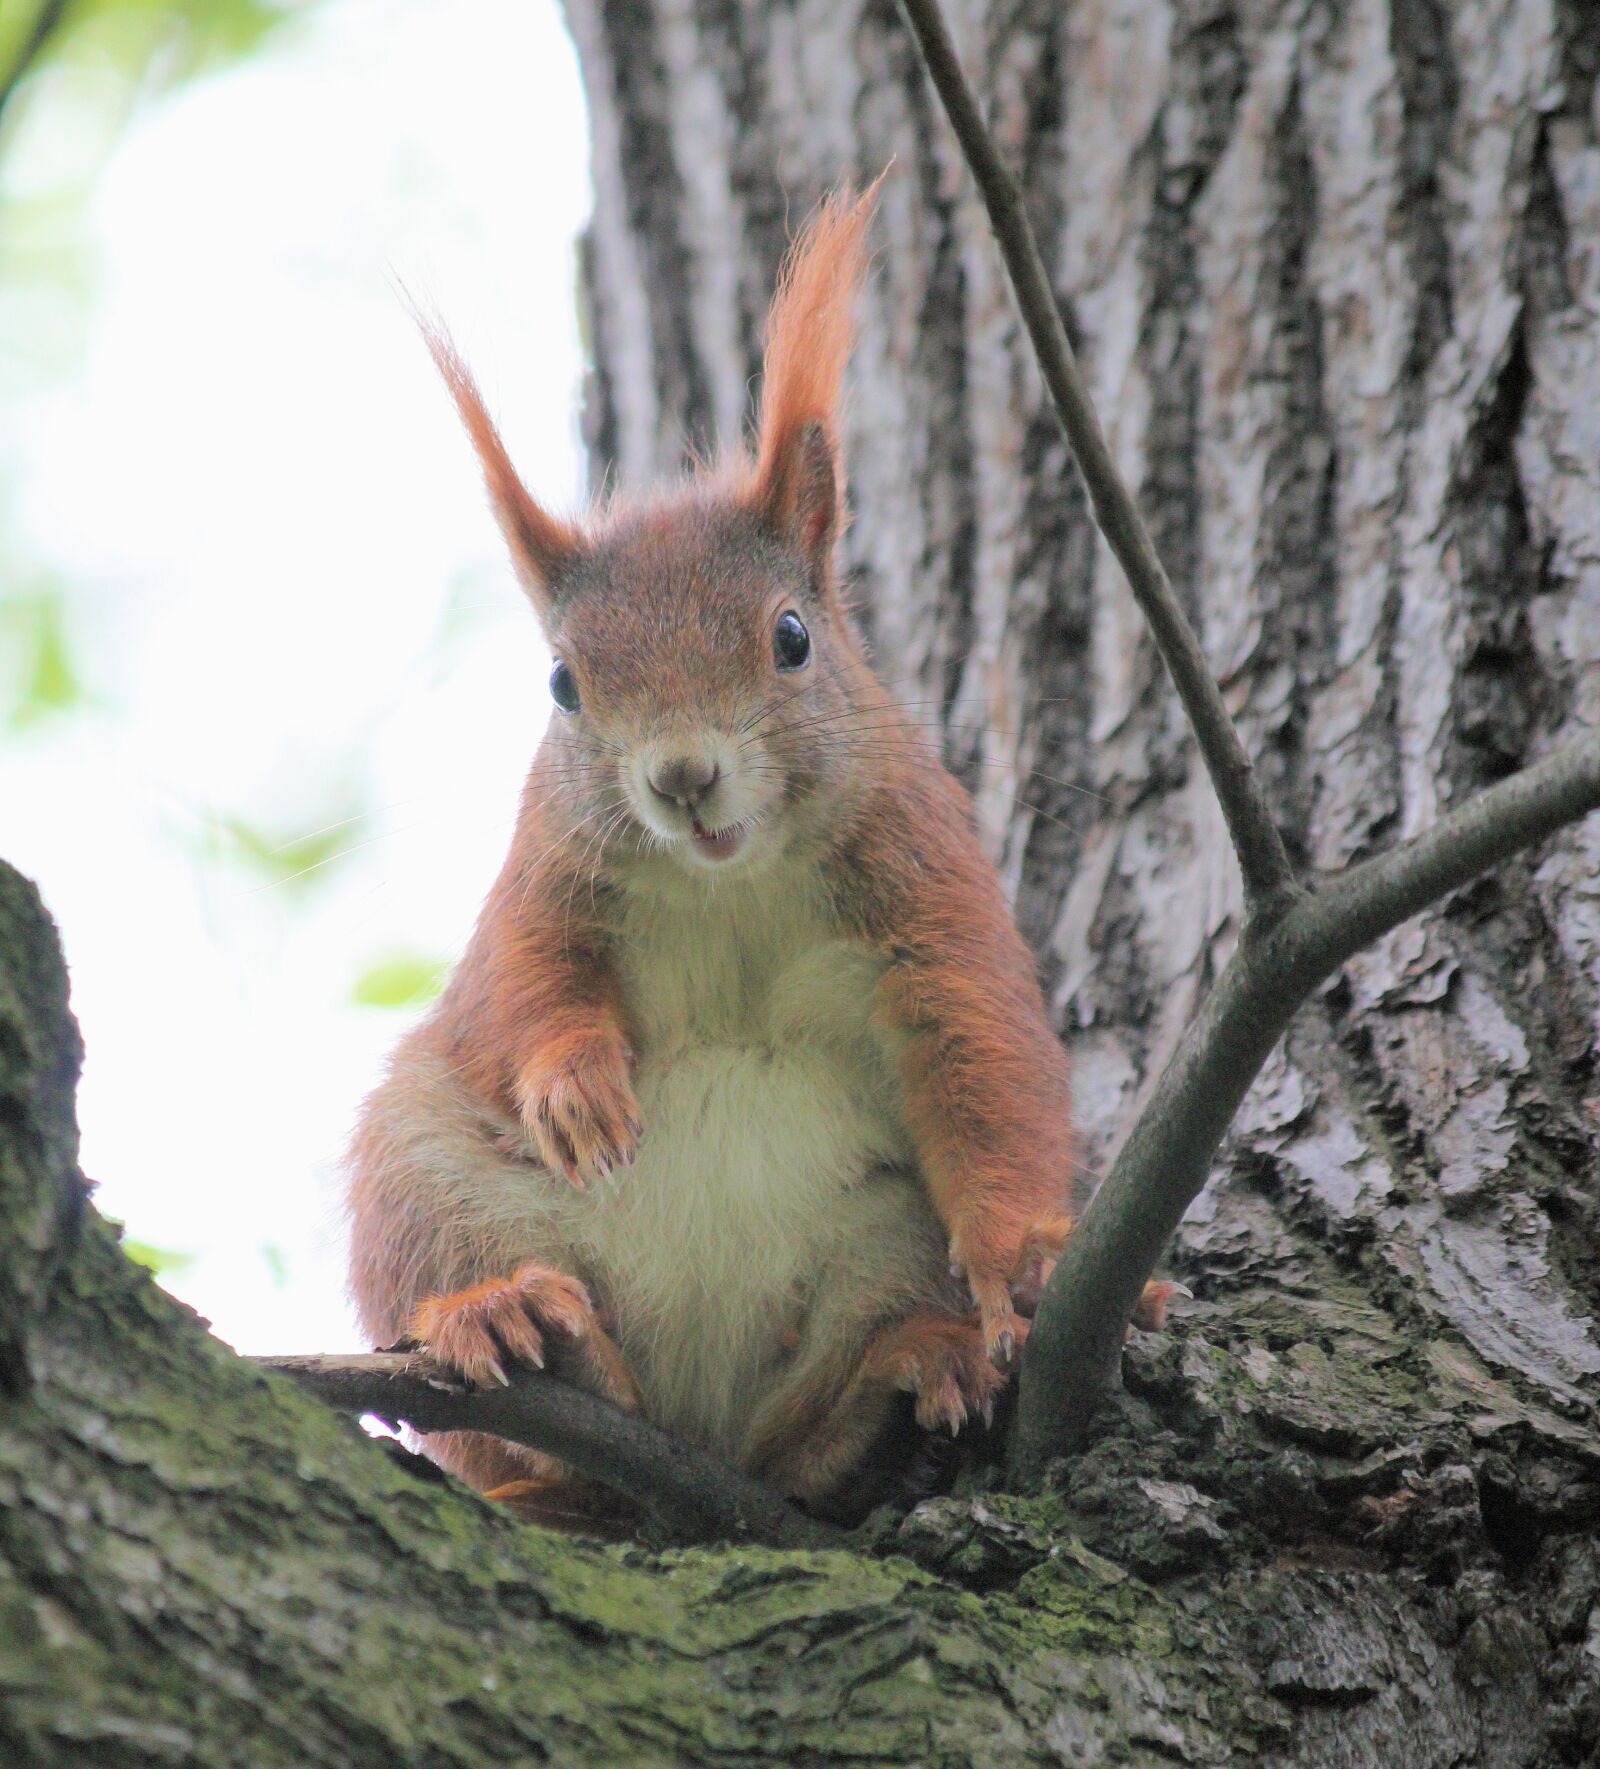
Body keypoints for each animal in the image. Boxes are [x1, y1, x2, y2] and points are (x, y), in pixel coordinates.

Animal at [346, 187, 1169, 1526]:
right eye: (563, 683)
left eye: (791, 637)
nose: (681, 777)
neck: (727, 880)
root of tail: (692, 1439)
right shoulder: (542, 874)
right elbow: (525, 985)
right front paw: (575, 1085)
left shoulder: (927, 882)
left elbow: (984, 1055)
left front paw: (1026, 1258)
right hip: (423, 1174)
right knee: (517, 1384)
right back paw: (520, 1324)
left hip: (880, 1245)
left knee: (800, 1445)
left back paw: (896, 1381)